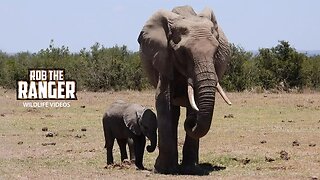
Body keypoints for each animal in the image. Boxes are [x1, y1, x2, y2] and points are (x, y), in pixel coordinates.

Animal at [139, 5, 231, 174]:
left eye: (216, 52)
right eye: (183, 52)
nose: (191, 122)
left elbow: (194, 103)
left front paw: (190, 169)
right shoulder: (164, 57)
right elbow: (163, 100)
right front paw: (163, 169)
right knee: (174, 113)